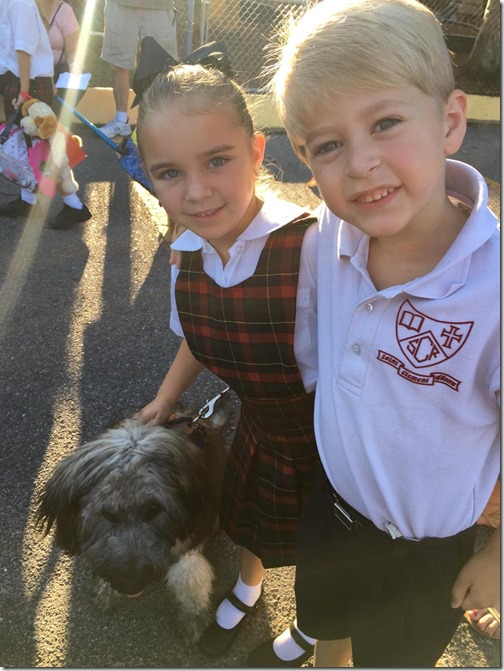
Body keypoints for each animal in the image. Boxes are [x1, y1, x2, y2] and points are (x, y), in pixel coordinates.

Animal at [36, 407, 228, 639]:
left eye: (154, 509)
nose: (130, 585)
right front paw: (107, 590)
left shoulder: (191, 540)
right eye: (108, 513)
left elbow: (188, 579)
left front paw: (194, 619)